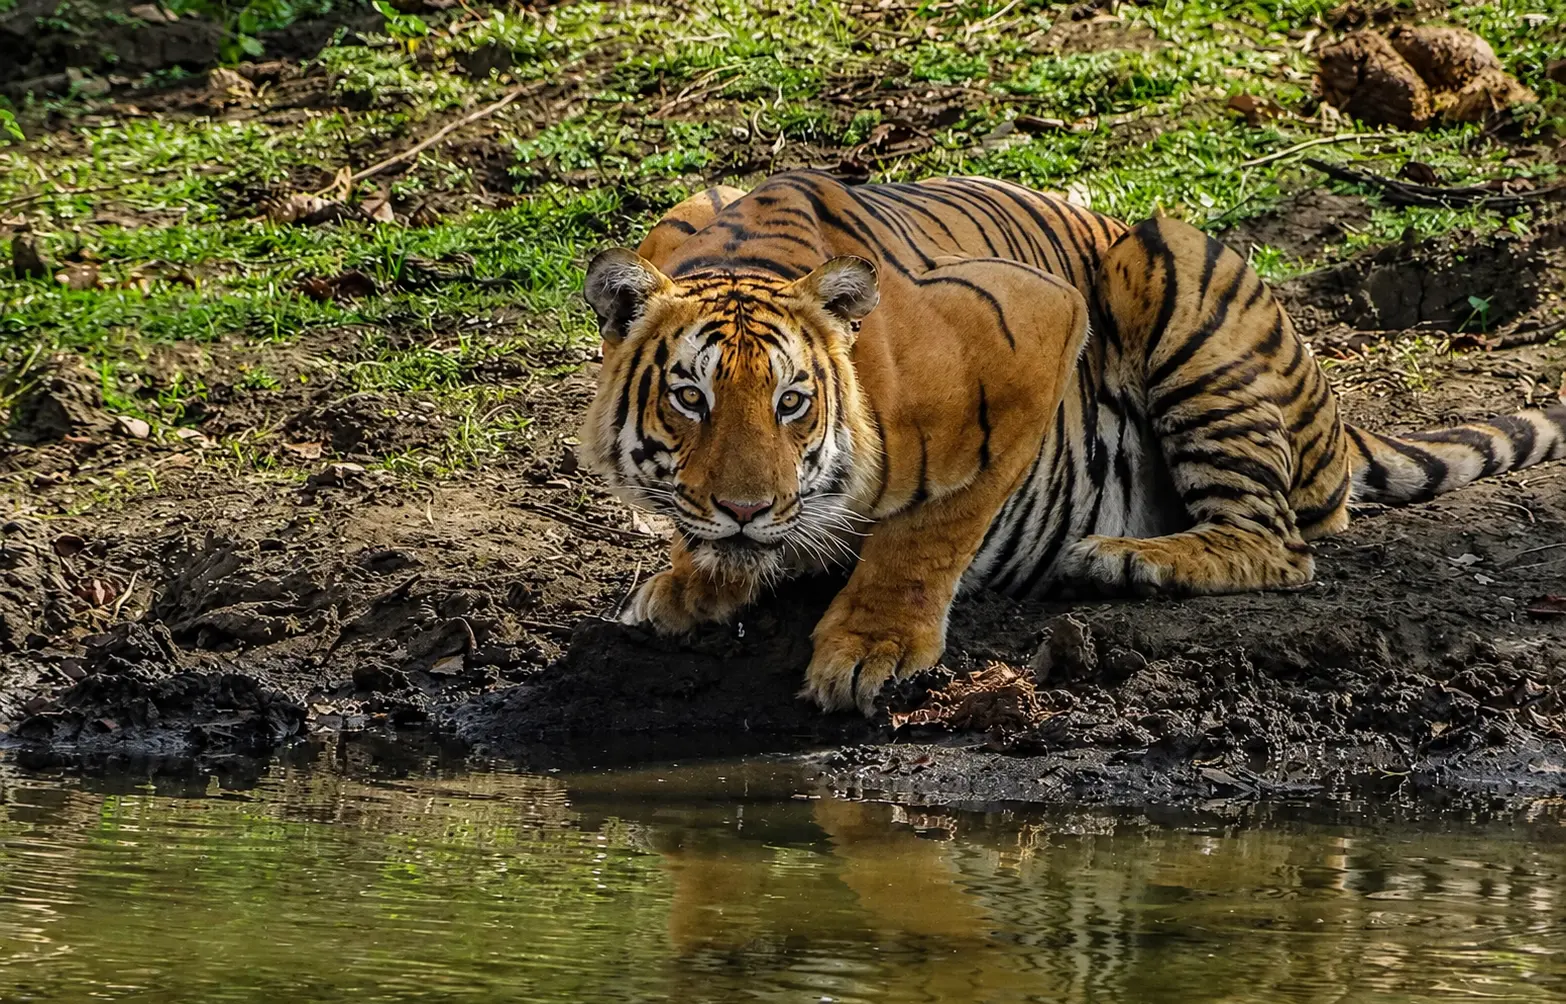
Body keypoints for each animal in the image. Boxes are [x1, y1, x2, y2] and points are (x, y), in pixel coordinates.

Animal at [579, 169, 1566, 715]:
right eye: (690, 398)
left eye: (792, 403)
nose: (746, 510)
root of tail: (1333, 407)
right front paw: (691, 579)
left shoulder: (1036, 328)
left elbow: (928, 530)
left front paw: (872, 647)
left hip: (1169, 268)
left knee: (1280, 545)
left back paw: (1124, 558)